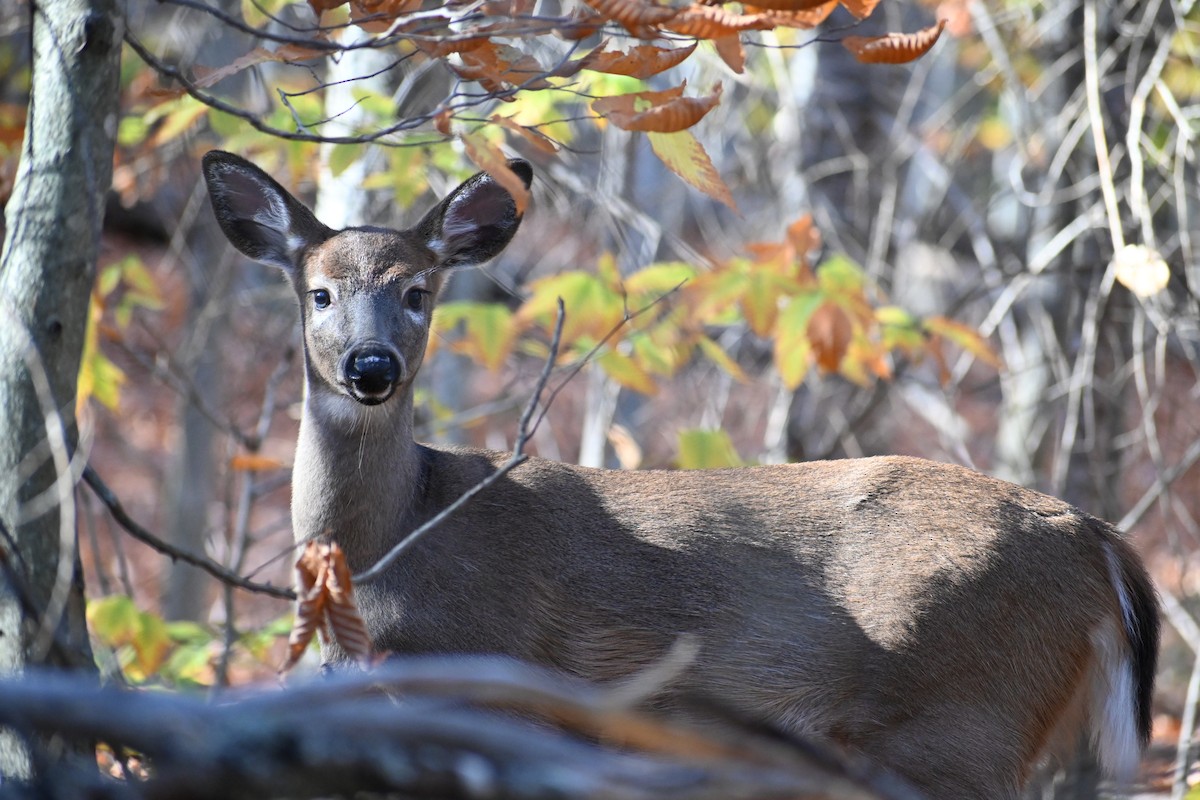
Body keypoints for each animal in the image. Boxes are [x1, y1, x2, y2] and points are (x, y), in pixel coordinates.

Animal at [201, 150, 1159, 800]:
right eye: (319, 292)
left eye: (418, 292)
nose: (371, 367)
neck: (396, 545)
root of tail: (1100, 539)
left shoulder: (502, 686)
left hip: (962, 719)